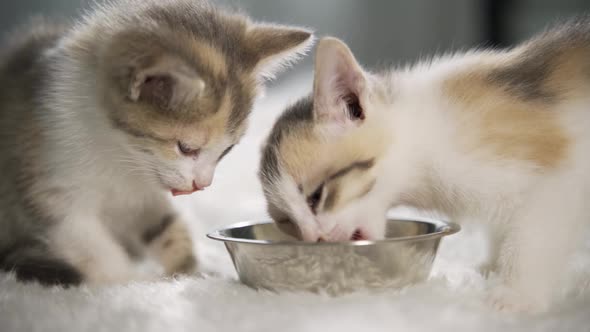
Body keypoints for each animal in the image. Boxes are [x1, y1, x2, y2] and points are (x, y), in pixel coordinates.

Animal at [0, 0, 314, 286]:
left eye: (226, 150)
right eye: (186, 148)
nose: (203, 184)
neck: (116, 152)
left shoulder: (146, 194)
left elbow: (167, 226)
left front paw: (191, 273)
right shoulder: (49, 182)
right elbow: (90, 243)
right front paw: (128, 281)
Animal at [260, 18, 590, 312]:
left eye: (316, 197)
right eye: (286, 221)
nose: (314, 239)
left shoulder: (557, 174)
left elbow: (533, 234)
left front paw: (516, 295)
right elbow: (503, 228)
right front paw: (493, 266)